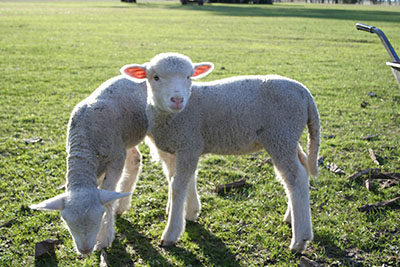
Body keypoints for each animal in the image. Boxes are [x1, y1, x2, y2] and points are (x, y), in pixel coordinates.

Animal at [29, 76, 148, 255]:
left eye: (100, 215)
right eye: (65, 219)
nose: (85, 250)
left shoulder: (116, 159)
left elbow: (108, 194)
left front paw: (104, 238)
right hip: (126, 139)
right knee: (135, 159)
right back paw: (122, 205)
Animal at [120, 52, 320, 253]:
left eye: (189, 76)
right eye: (156, 77)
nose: (177, 100)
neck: (173, 116)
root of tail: (304, 92)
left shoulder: (189, 143)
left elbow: (178, 186)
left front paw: (171, 232)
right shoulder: (178, 147)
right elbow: (177, 179)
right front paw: (190, 212)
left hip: (280, 135)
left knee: (295, 178)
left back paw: (300, 239)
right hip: (288, 138)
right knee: (302, 168)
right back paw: (291, 217)